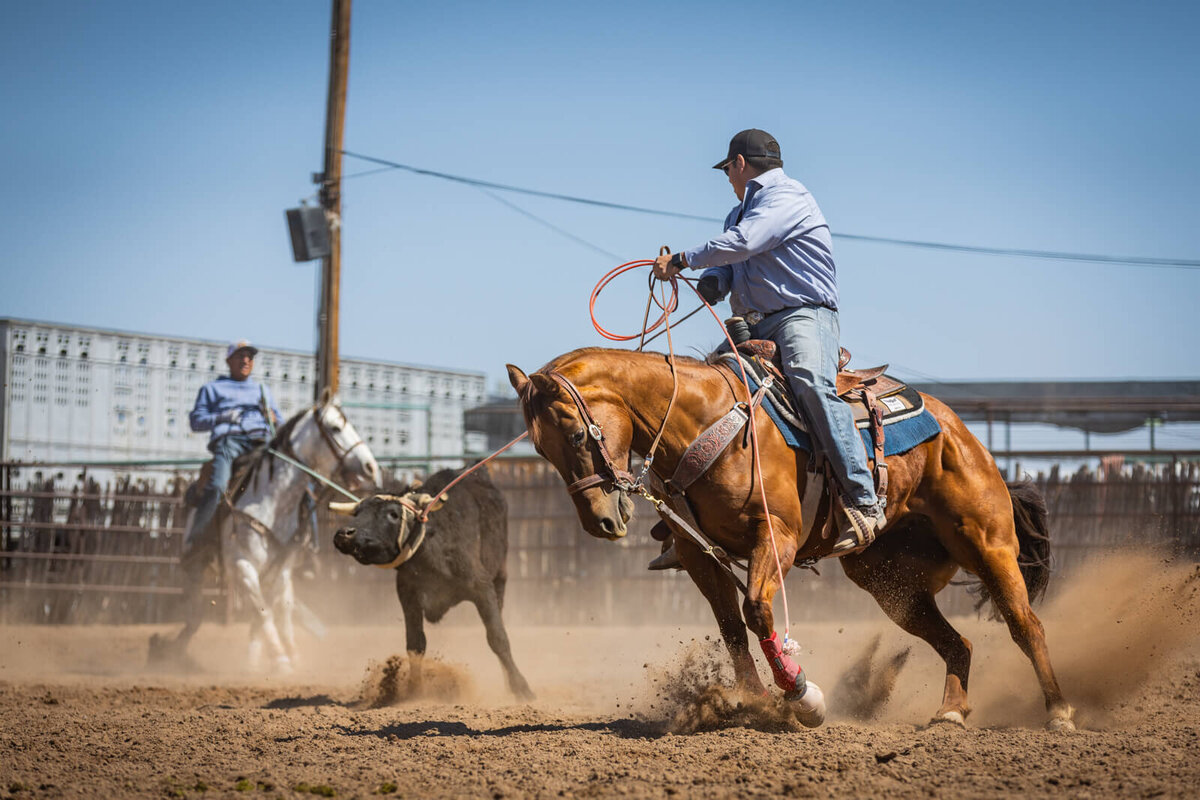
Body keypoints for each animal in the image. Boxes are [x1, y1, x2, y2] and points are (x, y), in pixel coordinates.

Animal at [508, 347, 1080, 729]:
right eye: (540, 449)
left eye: (577, 435)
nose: (600, 522)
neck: (706, 423)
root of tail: (960, 431)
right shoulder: (698, 557)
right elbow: (731, 627)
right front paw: (752, 702)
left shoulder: (776, 538)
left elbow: (758, 612)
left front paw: (803, 696)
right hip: (889, 582)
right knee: (957, 642)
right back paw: (951, 713)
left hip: (986, 542)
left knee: (1026, 625)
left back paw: (1058, 712)